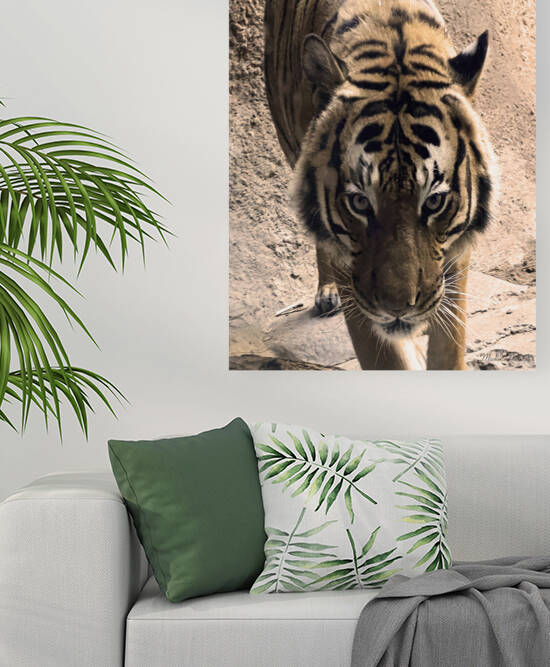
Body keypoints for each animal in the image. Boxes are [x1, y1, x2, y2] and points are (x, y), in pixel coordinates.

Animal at [264, 0, 497, 370]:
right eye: (359, 202)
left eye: (434, 202)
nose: (398, 309)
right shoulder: (353, 276)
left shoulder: (454, 257)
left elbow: (448, 346)